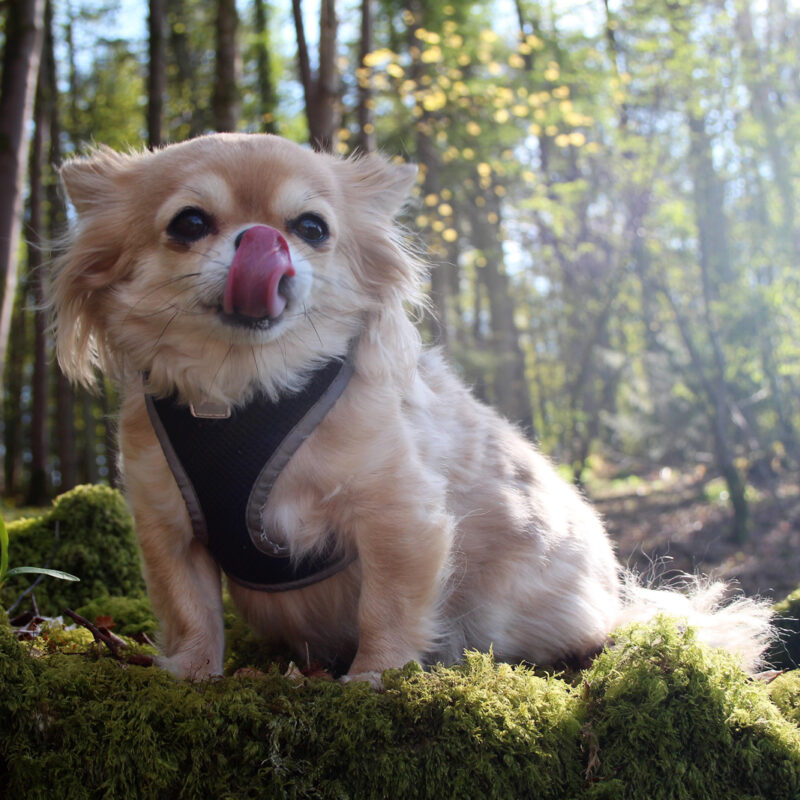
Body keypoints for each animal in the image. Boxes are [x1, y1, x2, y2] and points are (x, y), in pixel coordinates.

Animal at [53, 134, 772, 684]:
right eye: (190, 224)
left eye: (311, 229)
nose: (262, 241)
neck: (246, 397)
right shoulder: (168, 529)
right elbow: (190, 611)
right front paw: (192, 673)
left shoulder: (401, 517)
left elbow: (388, 608)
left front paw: (374, 677)